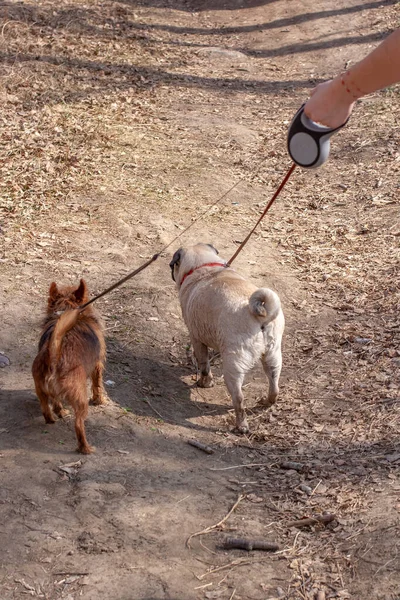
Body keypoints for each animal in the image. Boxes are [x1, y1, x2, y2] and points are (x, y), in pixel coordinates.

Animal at [32, 278, 106, 452]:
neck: (66, 308)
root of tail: (54, 356)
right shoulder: (97, 365)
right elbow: (97, 384)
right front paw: (99, 400)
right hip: (80, 400)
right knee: (78, 425)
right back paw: (85, 448)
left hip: (41, 390)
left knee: (48, 408)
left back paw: (56, 416)